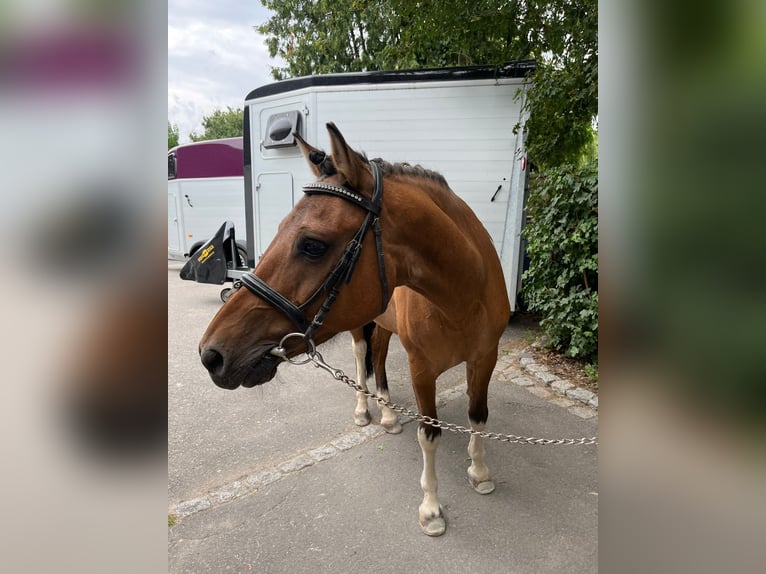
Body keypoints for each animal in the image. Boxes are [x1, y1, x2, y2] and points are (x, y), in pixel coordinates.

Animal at [199, 123, 510, 536]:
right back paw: (366, 410)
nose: (211, 354)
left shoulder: (484, 359)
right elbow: (429, 435)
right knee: (363, 359)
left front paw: (480, 472)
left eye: (312, 244)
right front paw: (431, 509)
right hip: (361, 327)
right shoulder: (421, 369)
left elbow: (479, 416)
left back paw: (389, 415)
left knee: (378, 356)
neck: (462, 295)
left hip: (383, 324)